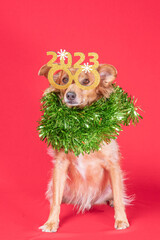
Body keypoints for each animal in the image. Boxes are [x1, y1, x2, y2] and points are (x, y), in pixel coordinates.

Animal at [38, 64, 130, 232]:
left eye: (86, 81)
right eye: (64, 80)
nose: (70, 95)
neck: (83, 123)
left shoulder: (112, 164)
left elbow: (119, 197)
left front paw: (121, 219)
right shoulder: (60, 165)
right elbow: (55, 202)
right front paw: (51, 222)